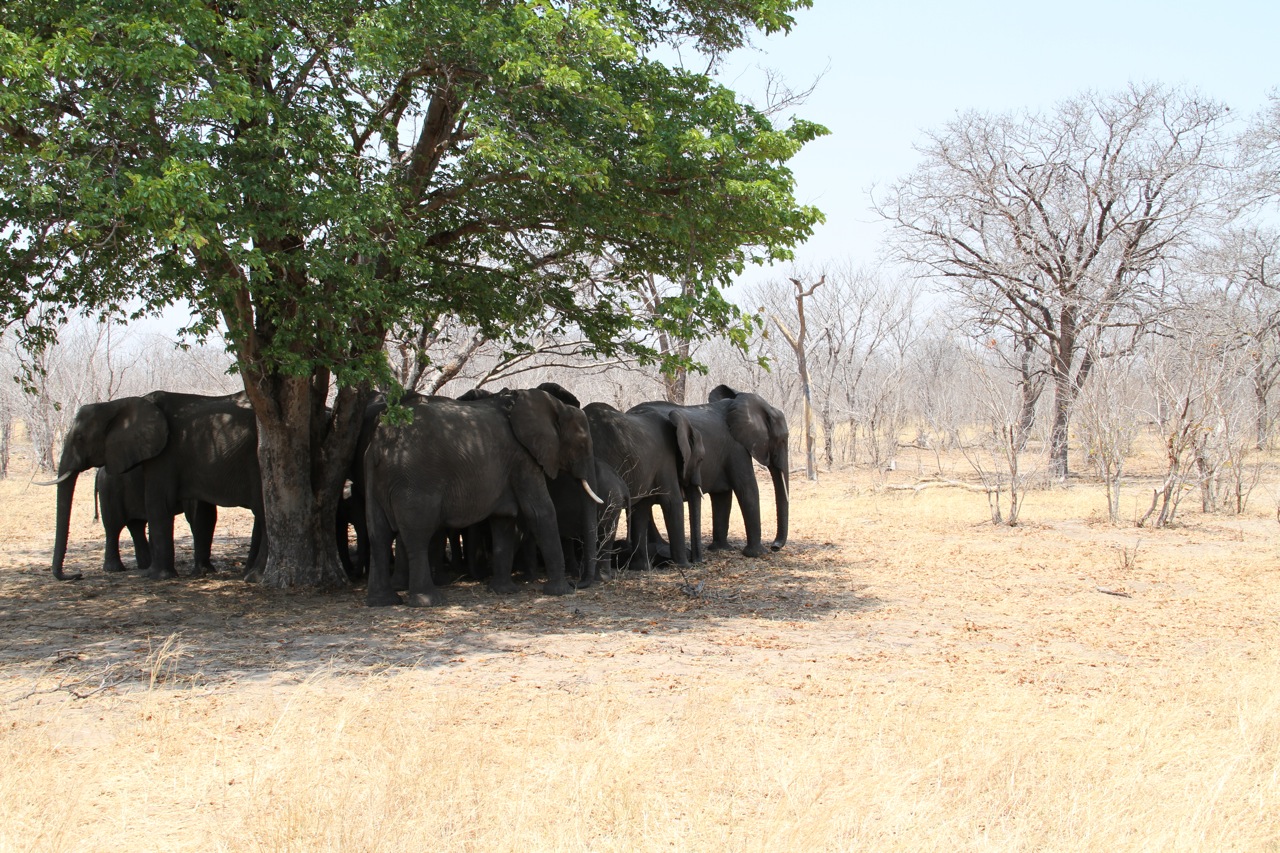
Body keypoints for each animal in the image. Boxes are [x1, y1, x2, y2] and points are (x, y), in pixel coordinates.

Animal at [45, 389, 264, 578]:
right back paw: (123, 569)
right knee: (118, 525)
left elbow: (162, 503)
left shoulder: (166, 452)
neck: (119, 405)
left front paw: (159, 576)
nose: (76, 575)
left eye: (80, 438)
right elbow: (198, 513)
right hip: (110, 490)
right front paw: (193, 573)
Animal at [360, 386, 599, 604]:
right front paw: (562, 591)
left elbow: (504, 520)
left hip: (373, 476)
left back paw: (383, 601)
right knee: (417, 535)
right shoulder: (522, 458)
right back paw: (429, 600)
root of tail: (378, 444)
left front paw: (504, 591)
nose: (578, 583)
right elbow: (540, 511)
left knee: (378, 535)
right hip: (415, 479)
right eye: (582, 445)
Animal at [586, 397, 706, 568]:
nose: (696, 562)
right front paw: (684, 566)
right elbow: (672, 502)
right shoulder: (665, 459)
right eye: (701, 459)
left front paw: (641, 568)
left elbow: (641, 508)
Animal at [624, 384, 783, 558]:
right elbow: (747, 489)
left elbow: (722, 495)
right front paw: (757, 554)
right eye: (782, 439)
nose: (775, 546)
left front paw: (720, 549)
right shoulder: (736, 448)